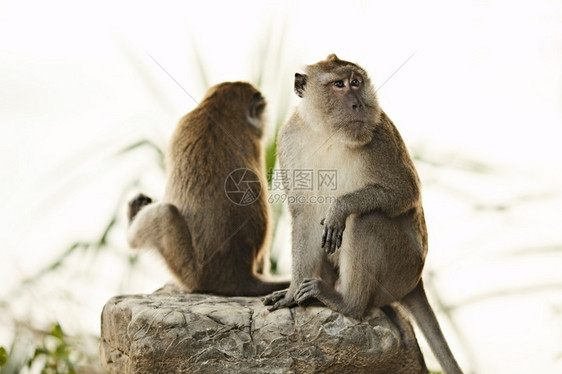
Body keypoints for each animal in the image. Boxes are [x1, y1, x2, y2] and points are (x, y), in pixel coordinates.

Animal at [264, 55, 462, 374]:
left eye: (356, 82)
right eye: (339, 85)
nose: (358, 103)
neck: (327, 133)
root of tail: (416, 280)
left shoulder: (380, 135)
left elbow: (404, 192)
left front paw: (340, 207)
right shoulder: (290, 138)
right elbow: (304, 215)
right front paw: (292, 292)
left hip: (400, 269)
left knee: (364, 220)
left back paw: (348, 303)